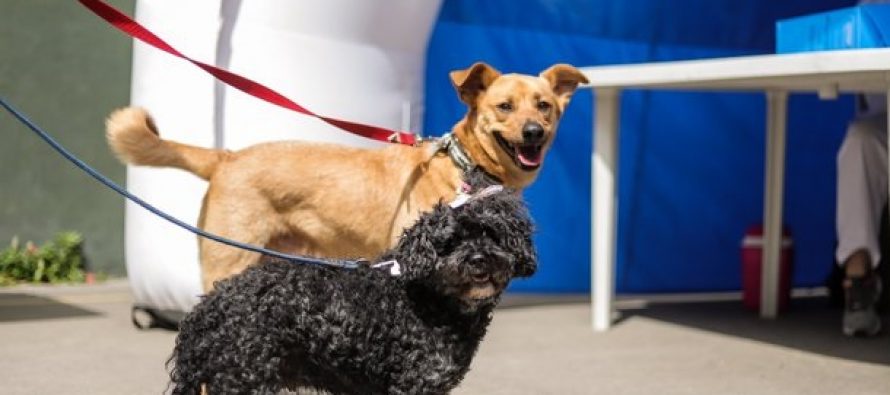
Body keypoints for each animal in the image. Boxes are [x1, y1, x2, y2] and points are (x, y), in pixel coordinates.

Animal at [107, 62, 588, 290]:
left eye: (544, 105)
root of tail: (226, 157)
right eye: (505, 107)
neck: (466, 168)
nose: (534, 132)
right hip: (227, 262)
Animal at [170, 181, 536, 394]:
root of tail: (207, 307)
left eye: (490, 233)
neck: (431, 301)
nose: (477, 260)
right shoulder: (415, 384)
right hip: (244, 380)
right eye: (449, 243)